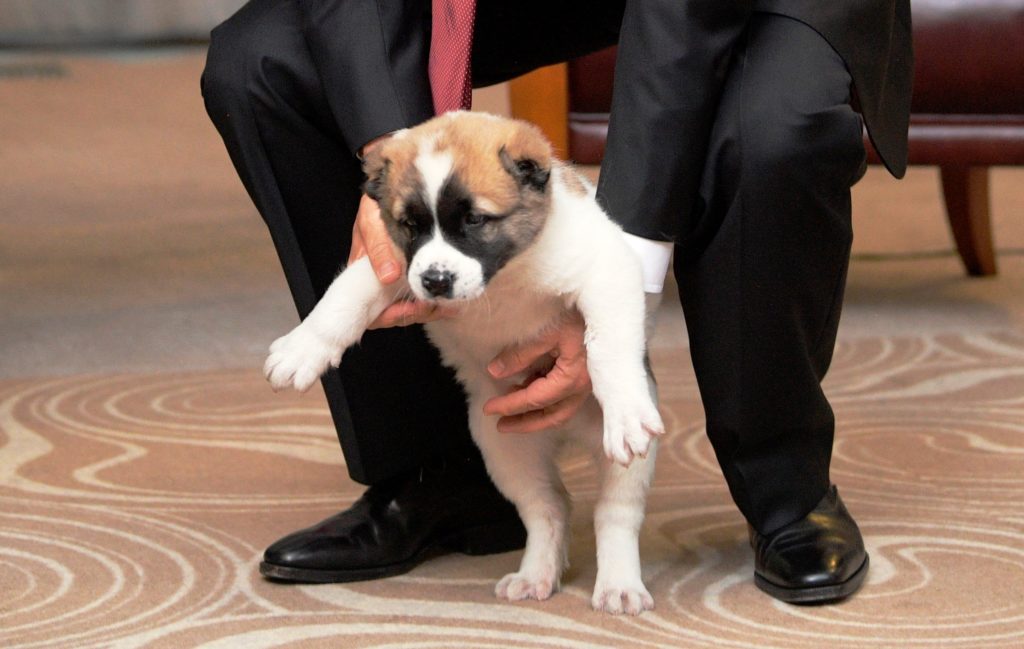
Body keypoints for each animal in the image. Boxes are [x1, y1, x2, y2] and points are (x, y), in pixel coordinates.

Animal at [264, 111, 663, 610]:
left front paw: (624, 411)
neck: (505, 275)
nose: (435, 281)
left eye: (474, 219)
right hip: (502, 444)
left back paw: (619, 584)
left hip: (623, 463)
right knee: (548, 508)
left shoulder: (606, 267)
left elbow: (606, 343)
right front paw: (304, 346)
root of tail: (563, 430)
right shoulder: (394, 264)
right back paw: (536, 574)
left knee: (615, 513)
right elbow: (345, 295)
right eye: (410, 224)